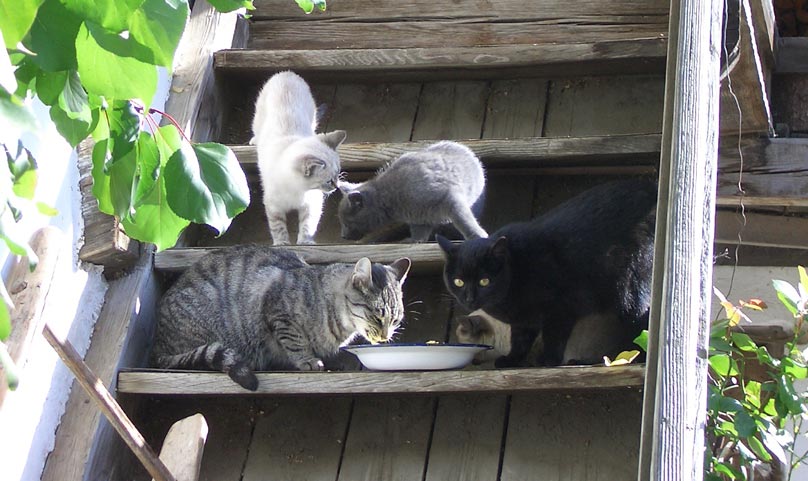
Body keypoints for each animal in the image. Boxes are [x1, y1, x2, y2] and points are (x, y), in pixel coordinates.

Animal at [153, 244, 410, 390]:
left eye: (395, 320)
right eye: (377, 316)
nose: (385, 337)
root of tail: (158, 347)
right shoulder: (277, 310)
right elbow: (294, 341)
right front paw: (308, 360)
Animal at [340, 141, 490, 242]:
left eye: (347, 223)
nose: (343, 236)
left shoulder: (450, 198)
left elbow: (463, 219)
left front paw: (477, 236)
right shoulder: (420, 219)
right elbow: (419, 233)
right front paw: (414, 240)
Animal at [436, 178, 656, 366]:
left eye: (484, 281)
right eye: (458, 282)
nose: (469, 298)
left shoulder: (560, 309)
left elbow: (553, 338)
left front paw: (547, 361)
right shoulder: (524, 321)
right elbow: (520, 342)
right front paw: (511, 360)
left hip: (629, 298)